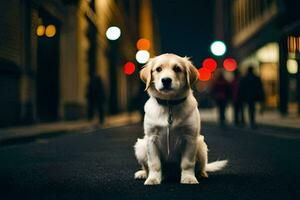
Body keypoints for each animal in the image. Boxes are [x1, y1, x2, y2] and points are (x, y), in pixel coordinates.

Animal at [134, 53, 227, 184]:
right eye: (158, 69)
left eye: (177, 69)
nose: (166, 80)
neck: (169, 105)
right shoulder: (151, 139)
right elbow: (154, 163)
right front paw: (152, 179)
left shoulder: (190, 138)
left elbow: (187, 163)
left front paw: (188, 178)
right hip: (141, 145)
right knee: (146, 166)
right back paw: (143, 174)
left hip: (201, 145)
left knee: (202, 166)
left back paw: (202, 174)